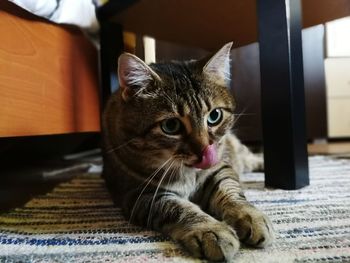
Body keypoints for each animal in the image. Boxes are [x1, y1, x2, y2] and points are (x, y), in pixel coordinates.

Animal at [102, 42, 274, 262]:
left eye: (215, 116)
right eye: (171, 126)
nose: (205, 151)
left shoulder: (219, 168)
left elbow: (231, 191)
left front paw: (250, 215)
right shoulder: (140, 195)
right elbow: (179, 209)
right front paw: (211, 231)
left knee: (250, 158)